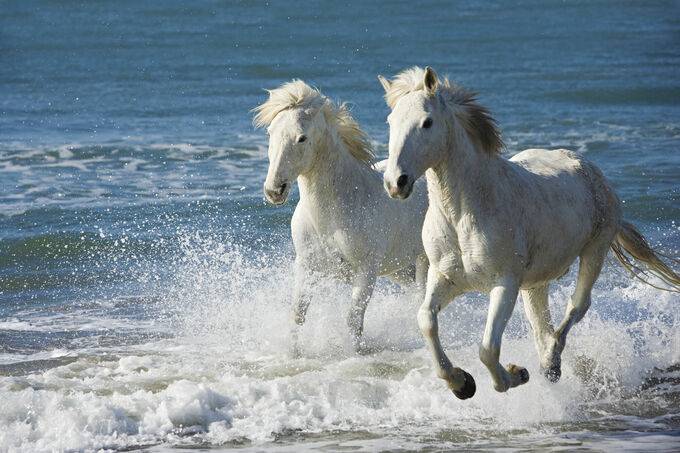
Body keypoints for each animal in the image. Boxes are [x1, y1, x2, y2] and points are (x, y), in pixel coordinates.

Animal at [252, 80, 428, 350]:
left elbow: (354, 321)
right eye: (270, 132)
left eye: (302, 137)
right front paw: (293, 352)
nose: (274, 190)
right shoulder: (306, 266)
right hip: (396, 267)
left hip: (425, 259)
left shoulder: (366, 271)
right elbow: (297, 314)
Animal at [378, 65, 680, 398]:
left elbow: (487, 349)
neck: (463, 215)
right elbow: (426, 321)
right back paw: (549, 364)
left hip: (594, 252)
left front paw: (515, 375)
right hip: (536, 282)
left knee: (576, 307)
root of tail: (588, 167)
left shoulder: (504, 285)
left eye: (427, 122)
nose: (396, 182)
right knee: (541, 324)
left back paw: (549, 362)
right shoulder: (444, 277)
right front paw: (461, 382)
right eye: (390, 121)